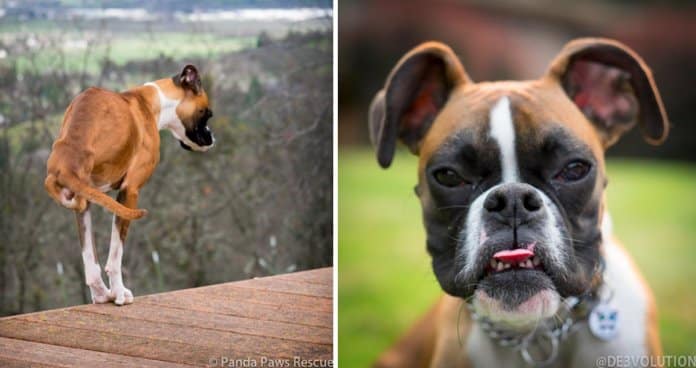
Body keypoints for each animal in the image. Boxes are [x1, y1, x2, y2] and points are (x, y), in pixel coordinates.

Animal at [44, 65, 213, 304]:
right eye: (207, 114)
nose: (211, 138)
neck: (152, 102)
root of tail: (66, 158)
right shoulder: (129, 191)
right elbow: (116, 253)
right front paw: (119, 293)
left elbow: (93, 256)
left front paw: (107, 294)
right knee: (113, 255)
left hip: (82, 199)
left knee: (90, 260)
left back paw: (101, 293)